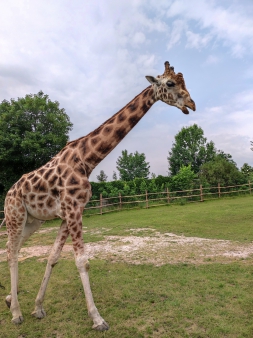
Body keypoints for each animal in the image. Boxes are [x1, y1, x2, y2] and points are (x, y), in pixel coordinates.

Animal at [3, 60, 196, 330]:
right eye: (169, 83)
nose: (192, 104)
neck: (88, 159)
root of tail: (9, 193)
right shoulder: (73, 209)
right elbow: (82, 261)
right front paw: (97, 318)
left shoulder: (70, 212)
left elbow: (53, 257)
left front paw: (38, 307)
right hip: (15, 215)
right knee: (11, 252)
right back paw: (16, 313)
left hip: (33, 221)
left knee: (14, 248)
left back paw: (11, 300)